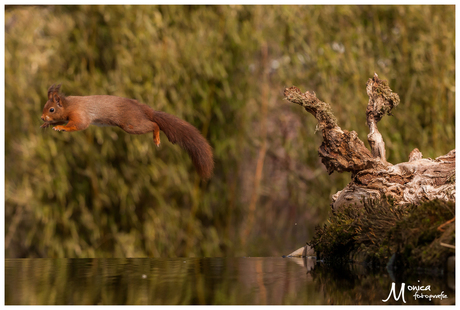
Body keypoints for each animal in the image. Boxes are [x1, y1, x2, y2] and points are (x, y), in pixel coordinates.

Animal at [41, 84, 214, 179]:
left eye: (51, 109)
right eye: (45, 107)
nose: (42, 117)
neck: (68, 105)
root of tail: (143, 109)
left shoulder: (79, 115)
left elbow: (78, 125)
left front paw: (60, 127)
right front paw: (48, 125)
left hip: (132, 124)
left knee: (154, 124)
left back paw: (156, 137)